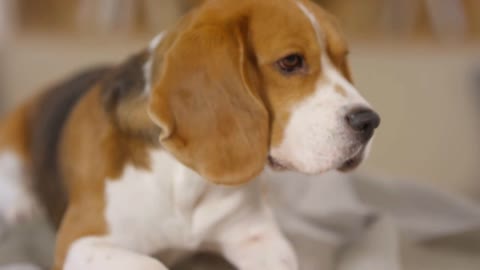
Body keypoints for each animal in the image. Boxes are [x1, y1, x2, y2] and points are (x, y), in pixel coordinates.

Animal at [0, 0, 378, 268]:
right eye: (291, 62)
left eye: (343, 59)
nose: (370, 122)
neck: (185, 179)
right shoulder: (81, 242)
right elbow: (151, 264)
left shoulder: (258, 237)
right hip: (14, 133)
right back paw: (21, 204)